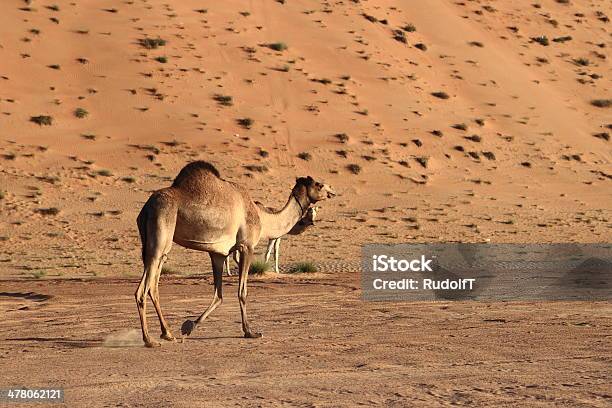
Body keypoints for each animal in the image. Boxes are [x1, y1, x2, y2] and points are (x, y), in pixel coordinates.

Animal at [135, 161, 334, 346]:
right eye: (319, 184)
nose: (332, 192)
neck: (262, 216)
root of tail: (146, 208)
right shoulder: (247, 247)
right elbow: (242, 291)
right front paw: (250, 332)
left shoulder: (218, 254)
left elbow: (218, 295)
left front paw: (188, 326)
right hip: (162, 231)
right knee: (143, 289)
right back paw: (149, 340)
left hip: (152, 244)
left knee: (153, 285)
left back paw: (167, 333)